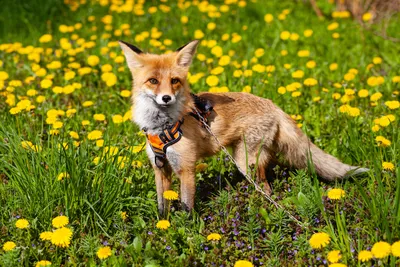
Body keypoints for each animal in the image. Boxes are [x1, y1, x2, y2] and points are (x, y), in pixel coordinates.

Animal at [119, 40, 368, 216]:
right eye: (153, 81)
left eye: (175, 81)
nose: (166, 98)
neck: (161, 126)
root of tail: (273, 104)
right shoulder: (160, 167)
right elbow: (163, 207)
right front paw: (163, 228)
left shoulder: (186, 168)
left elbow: (186, 208)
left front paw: (187, 232)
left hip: (244, 161)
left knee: (266, 188)